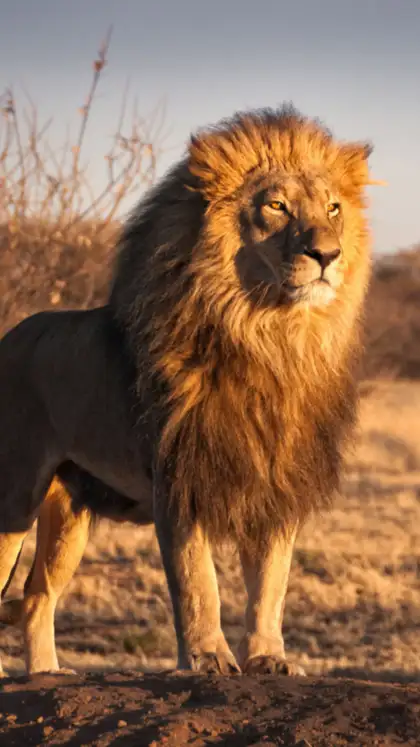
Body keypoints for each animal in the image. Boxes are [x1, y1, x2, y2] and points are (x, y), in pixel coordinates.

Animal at [0, 105, 374, 676]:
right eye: (276, 205)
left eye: (333, 208)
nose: (327, 254)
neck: (271, 338)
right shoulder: (179, 476)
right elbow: (198, 581)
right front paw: (207, 658)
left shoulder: (277, 482)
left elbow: (272, 583)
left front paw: (269, 657)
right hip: (14, 497)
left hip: (69, 512)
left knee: (38, 596)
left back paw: (46, 673)